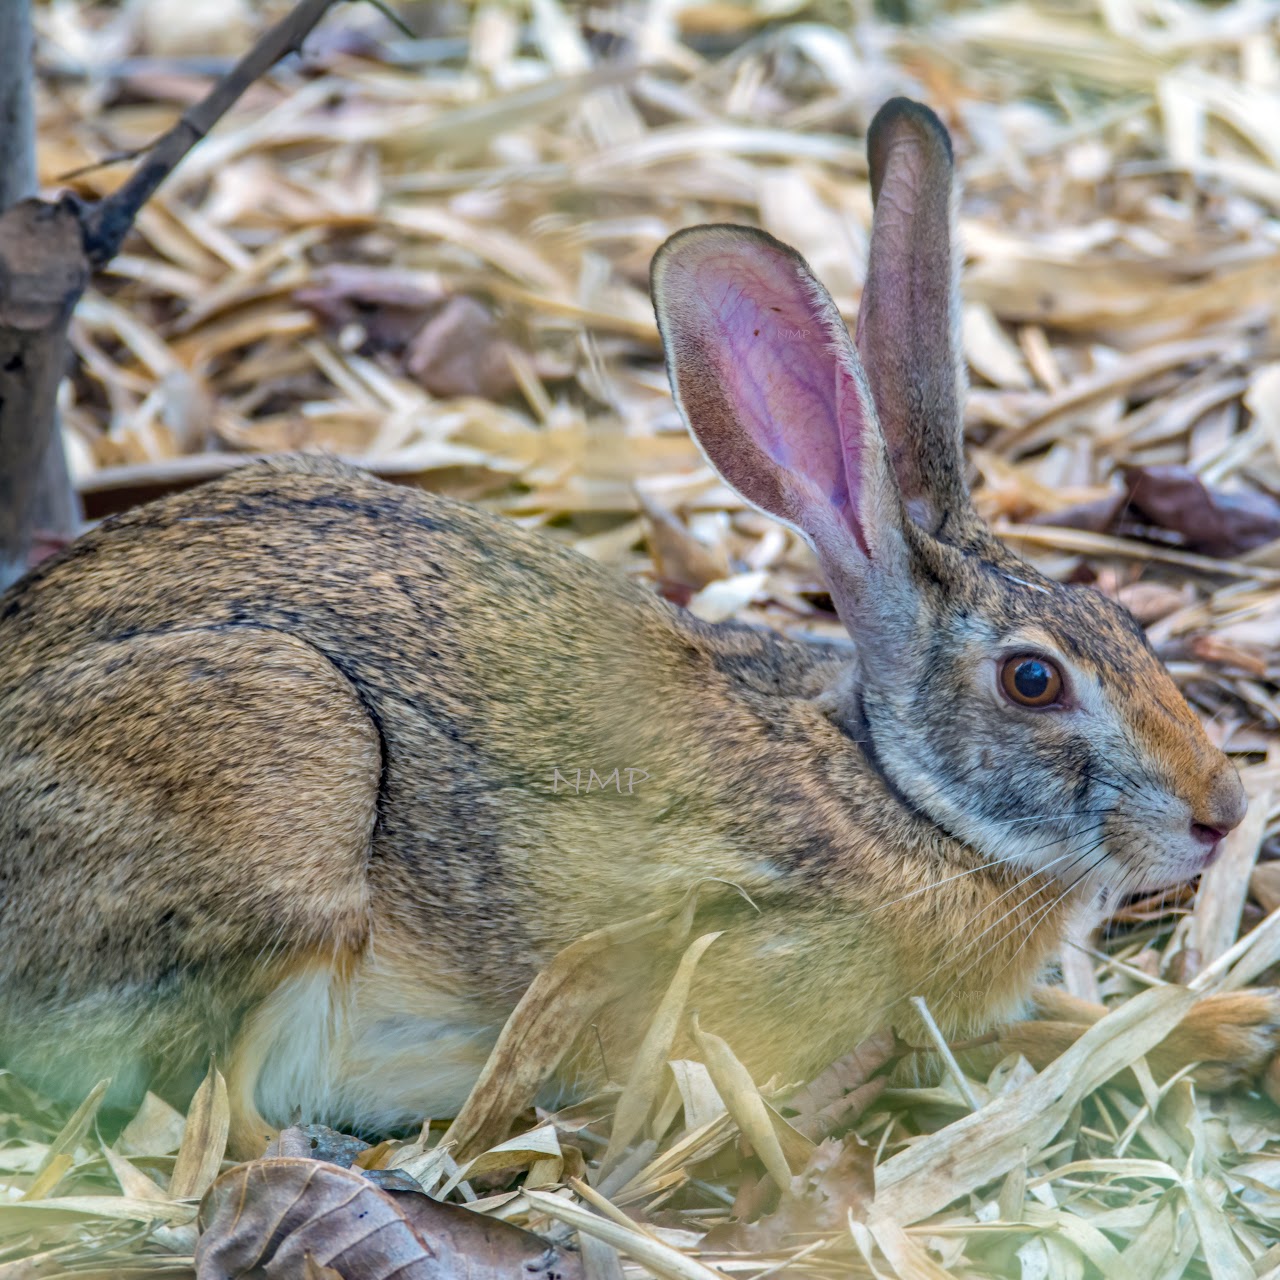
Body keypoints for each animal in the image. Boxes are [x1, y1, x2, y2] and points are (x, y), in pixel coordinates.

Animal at [0, 98, 1267, 1158]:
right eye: (1031, 681)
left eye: (1117, 611)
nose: (1220, 812)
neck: (892, 791)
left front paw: (1232, 1025)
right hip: (284, 760)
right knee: (219, 1102)